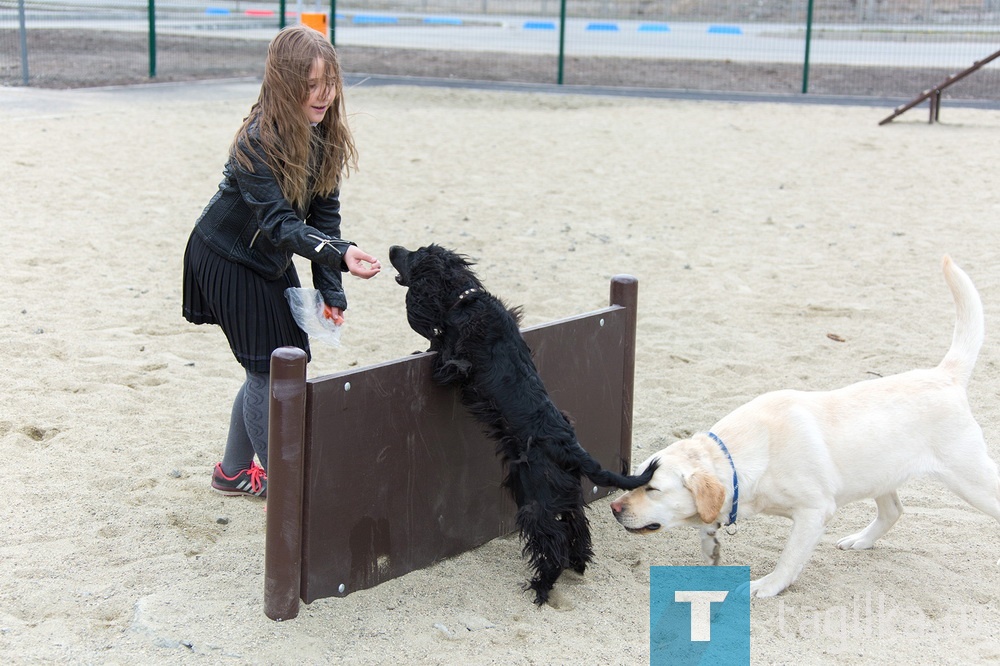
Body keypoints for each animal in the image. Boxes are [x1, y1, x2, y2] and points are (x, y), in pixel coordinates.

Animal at [388, 243, 656, 600]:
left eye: (414, 255)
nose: (393, 248)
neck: (465, 299)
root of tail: (570, 448)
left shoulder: (454, 365)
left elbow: (441, 353)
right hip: (561, 493)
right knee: (577, 528)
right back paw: (577, 565)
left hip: (533, 499)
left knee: (553, 539)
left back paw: (542, 585)